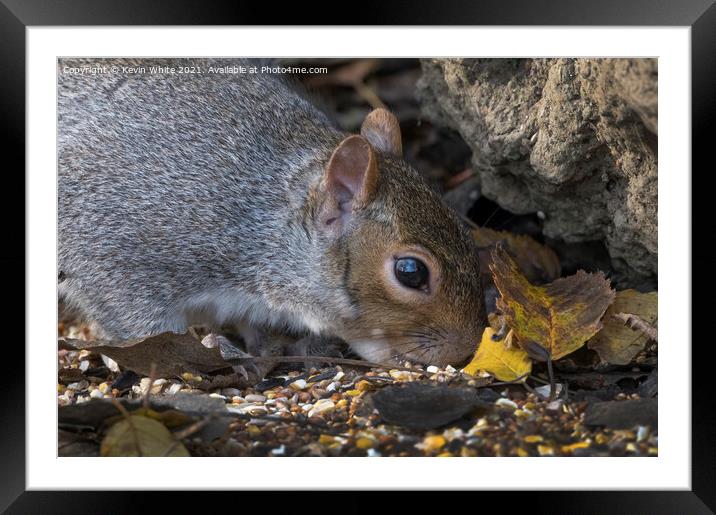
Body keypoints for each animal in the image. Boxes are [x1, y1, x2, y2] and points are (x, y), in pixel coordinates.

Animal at [58, 58, 490, 374]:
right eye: (411, 272)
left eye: (465, 231)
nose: (468, 348)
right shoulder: (115, 236)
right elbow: (135, 316)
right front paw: (216, 351)